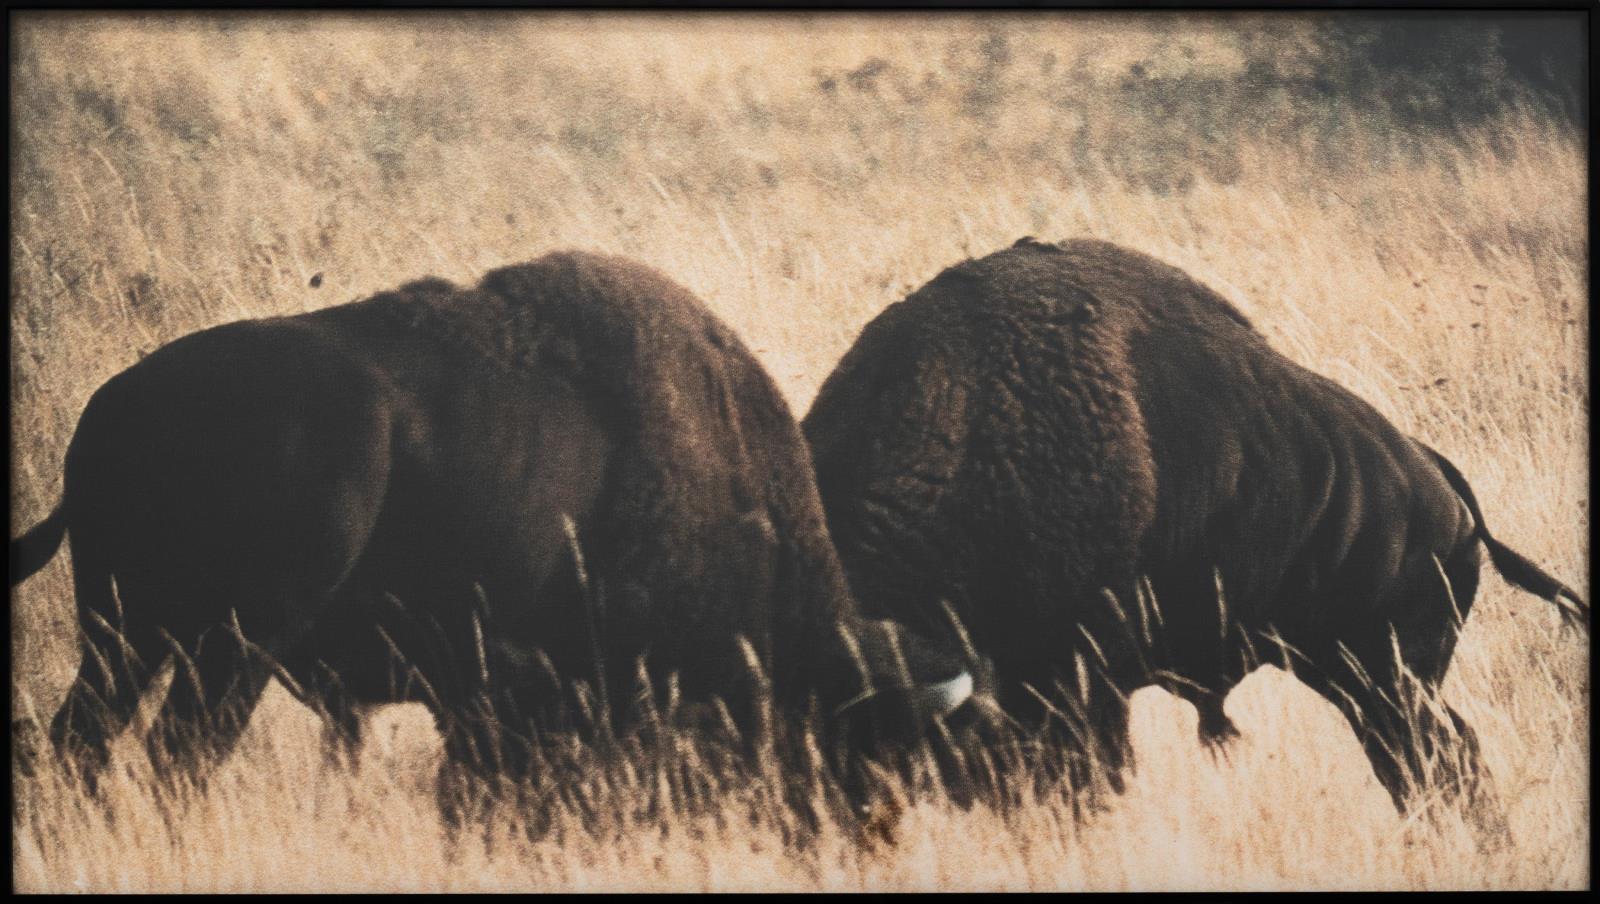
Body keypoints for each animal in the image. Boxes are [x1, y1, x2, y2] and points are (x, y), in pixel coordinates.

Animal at [11, 250, 974, 821]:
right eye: (859, 752)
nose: (864, 834)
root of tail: (115, 409)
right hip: (230, 646)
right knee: (177, 754)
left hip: (126, 634)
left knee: (84, 743)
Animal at [802, 237, 1585, 823]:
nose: (843, 819)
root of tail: (1440, 483)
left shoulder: (1080, 690)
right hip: (1352, 674)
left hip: (1386, 678)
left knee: (1437, 759)